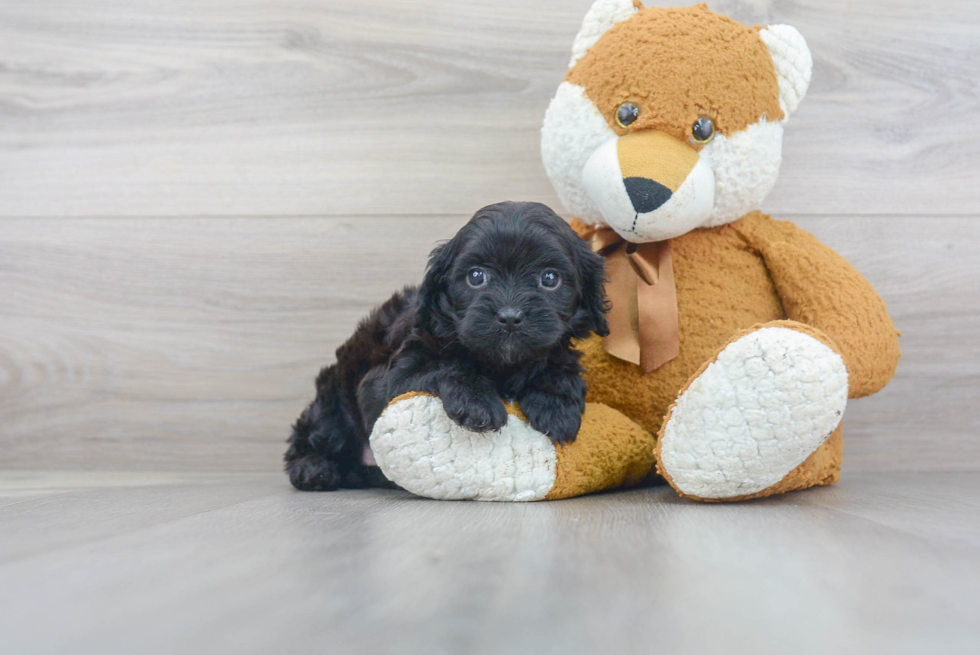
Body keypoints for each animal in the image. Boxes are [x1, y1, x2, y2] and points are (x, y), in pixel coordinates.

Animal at [284, 202, 604, 490]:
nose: (510, 316)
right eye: (476, 276)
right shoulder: (383, 381)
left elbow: (559, 362)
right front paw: (476, 403)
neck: (502, 364)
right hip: (332, 402)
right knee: (314, 435)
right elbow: (446, 364)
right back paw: (313, 469)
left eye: (550, 278)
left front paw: (556, 405)